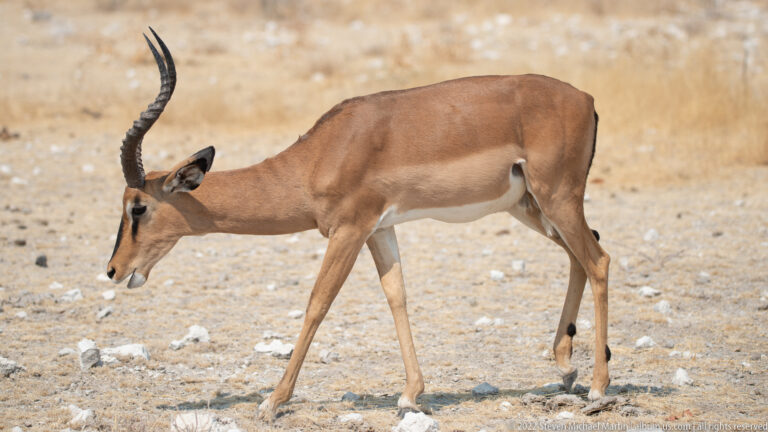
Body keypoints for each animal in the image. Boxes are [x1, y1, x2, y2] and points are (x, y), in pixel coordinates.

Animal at [107, 29, 611, 421]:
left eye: (138, 207)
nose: (113, 270)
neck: (317, 158)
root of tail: (586, 99)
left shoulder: (348, 230)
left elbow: (316, 304)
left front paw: (271, 402)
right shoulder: (379, 230)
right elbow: (397, 296)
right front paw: (410, 396)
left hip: (556, 199)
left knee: (599, 259)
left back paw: (598, 387)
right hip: (530, 206)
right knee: (581, 255)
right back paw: (566, 368)